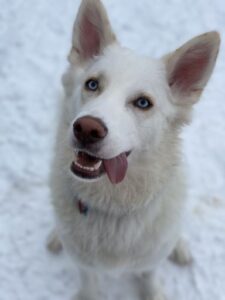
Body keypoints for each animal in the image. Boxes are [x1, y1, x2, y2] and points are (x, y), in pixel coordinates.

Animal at [47, 0, 220, 298]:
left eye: (142, 103)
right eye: (92, 84)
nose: (87, 129)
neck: (113, 206)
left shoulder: (150, 261)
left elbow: (150, 279)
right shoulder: (84, 265)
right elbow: (89, 285)